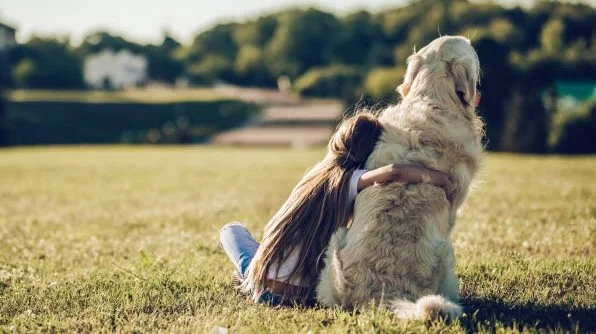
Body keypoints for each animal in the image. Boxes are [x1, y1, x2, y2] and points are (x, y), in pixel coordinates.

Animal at [316, 36, 484, 320]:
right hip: (447, 253)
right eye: (471, 51)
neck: (432, 99)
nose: (474, 43)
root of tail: (380, 292)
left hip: (335, 243)